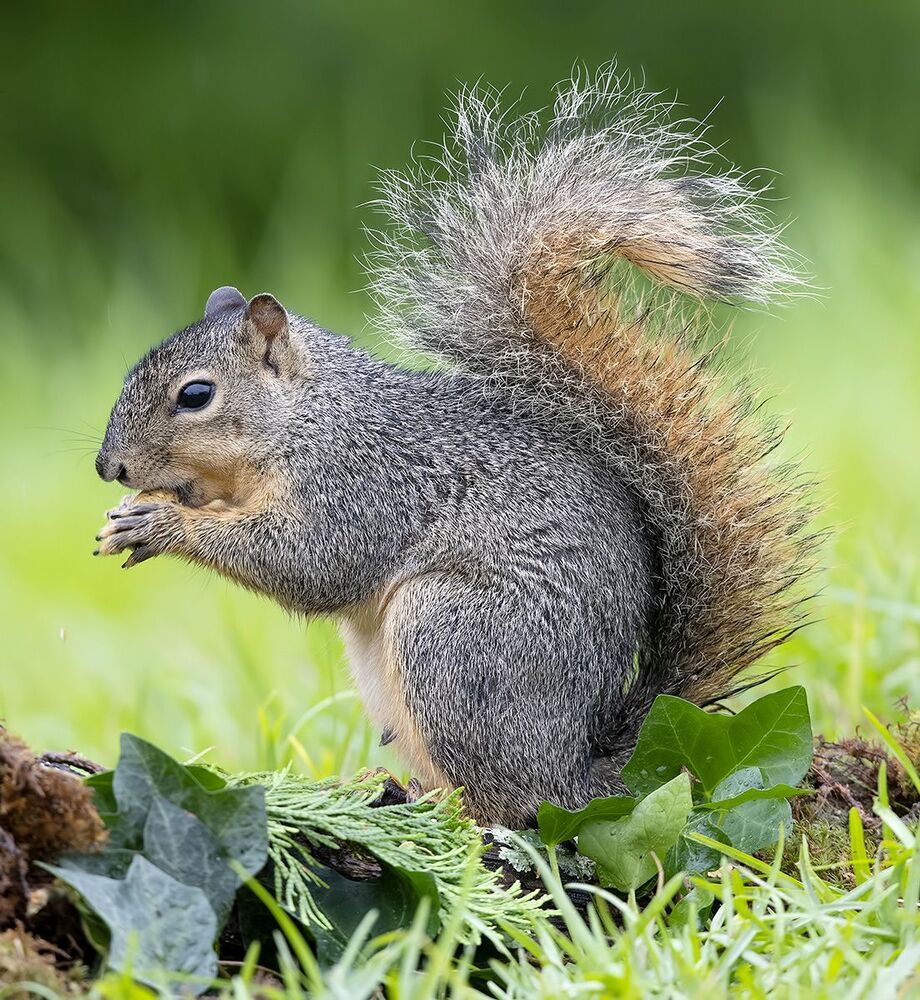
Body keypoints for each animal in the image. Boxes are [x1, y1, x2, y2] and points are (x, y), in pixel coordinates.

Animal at [94, 71, 815, 828]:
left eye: (196, 395)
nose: (109, 467)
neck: (309, 417)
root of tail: (585, 774)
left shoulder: (360, 483)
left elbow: (309, 562)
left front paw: (163, 523)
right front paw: (134, 515)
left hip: (452, 640)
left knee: (511, 803)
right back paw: (391, 789)